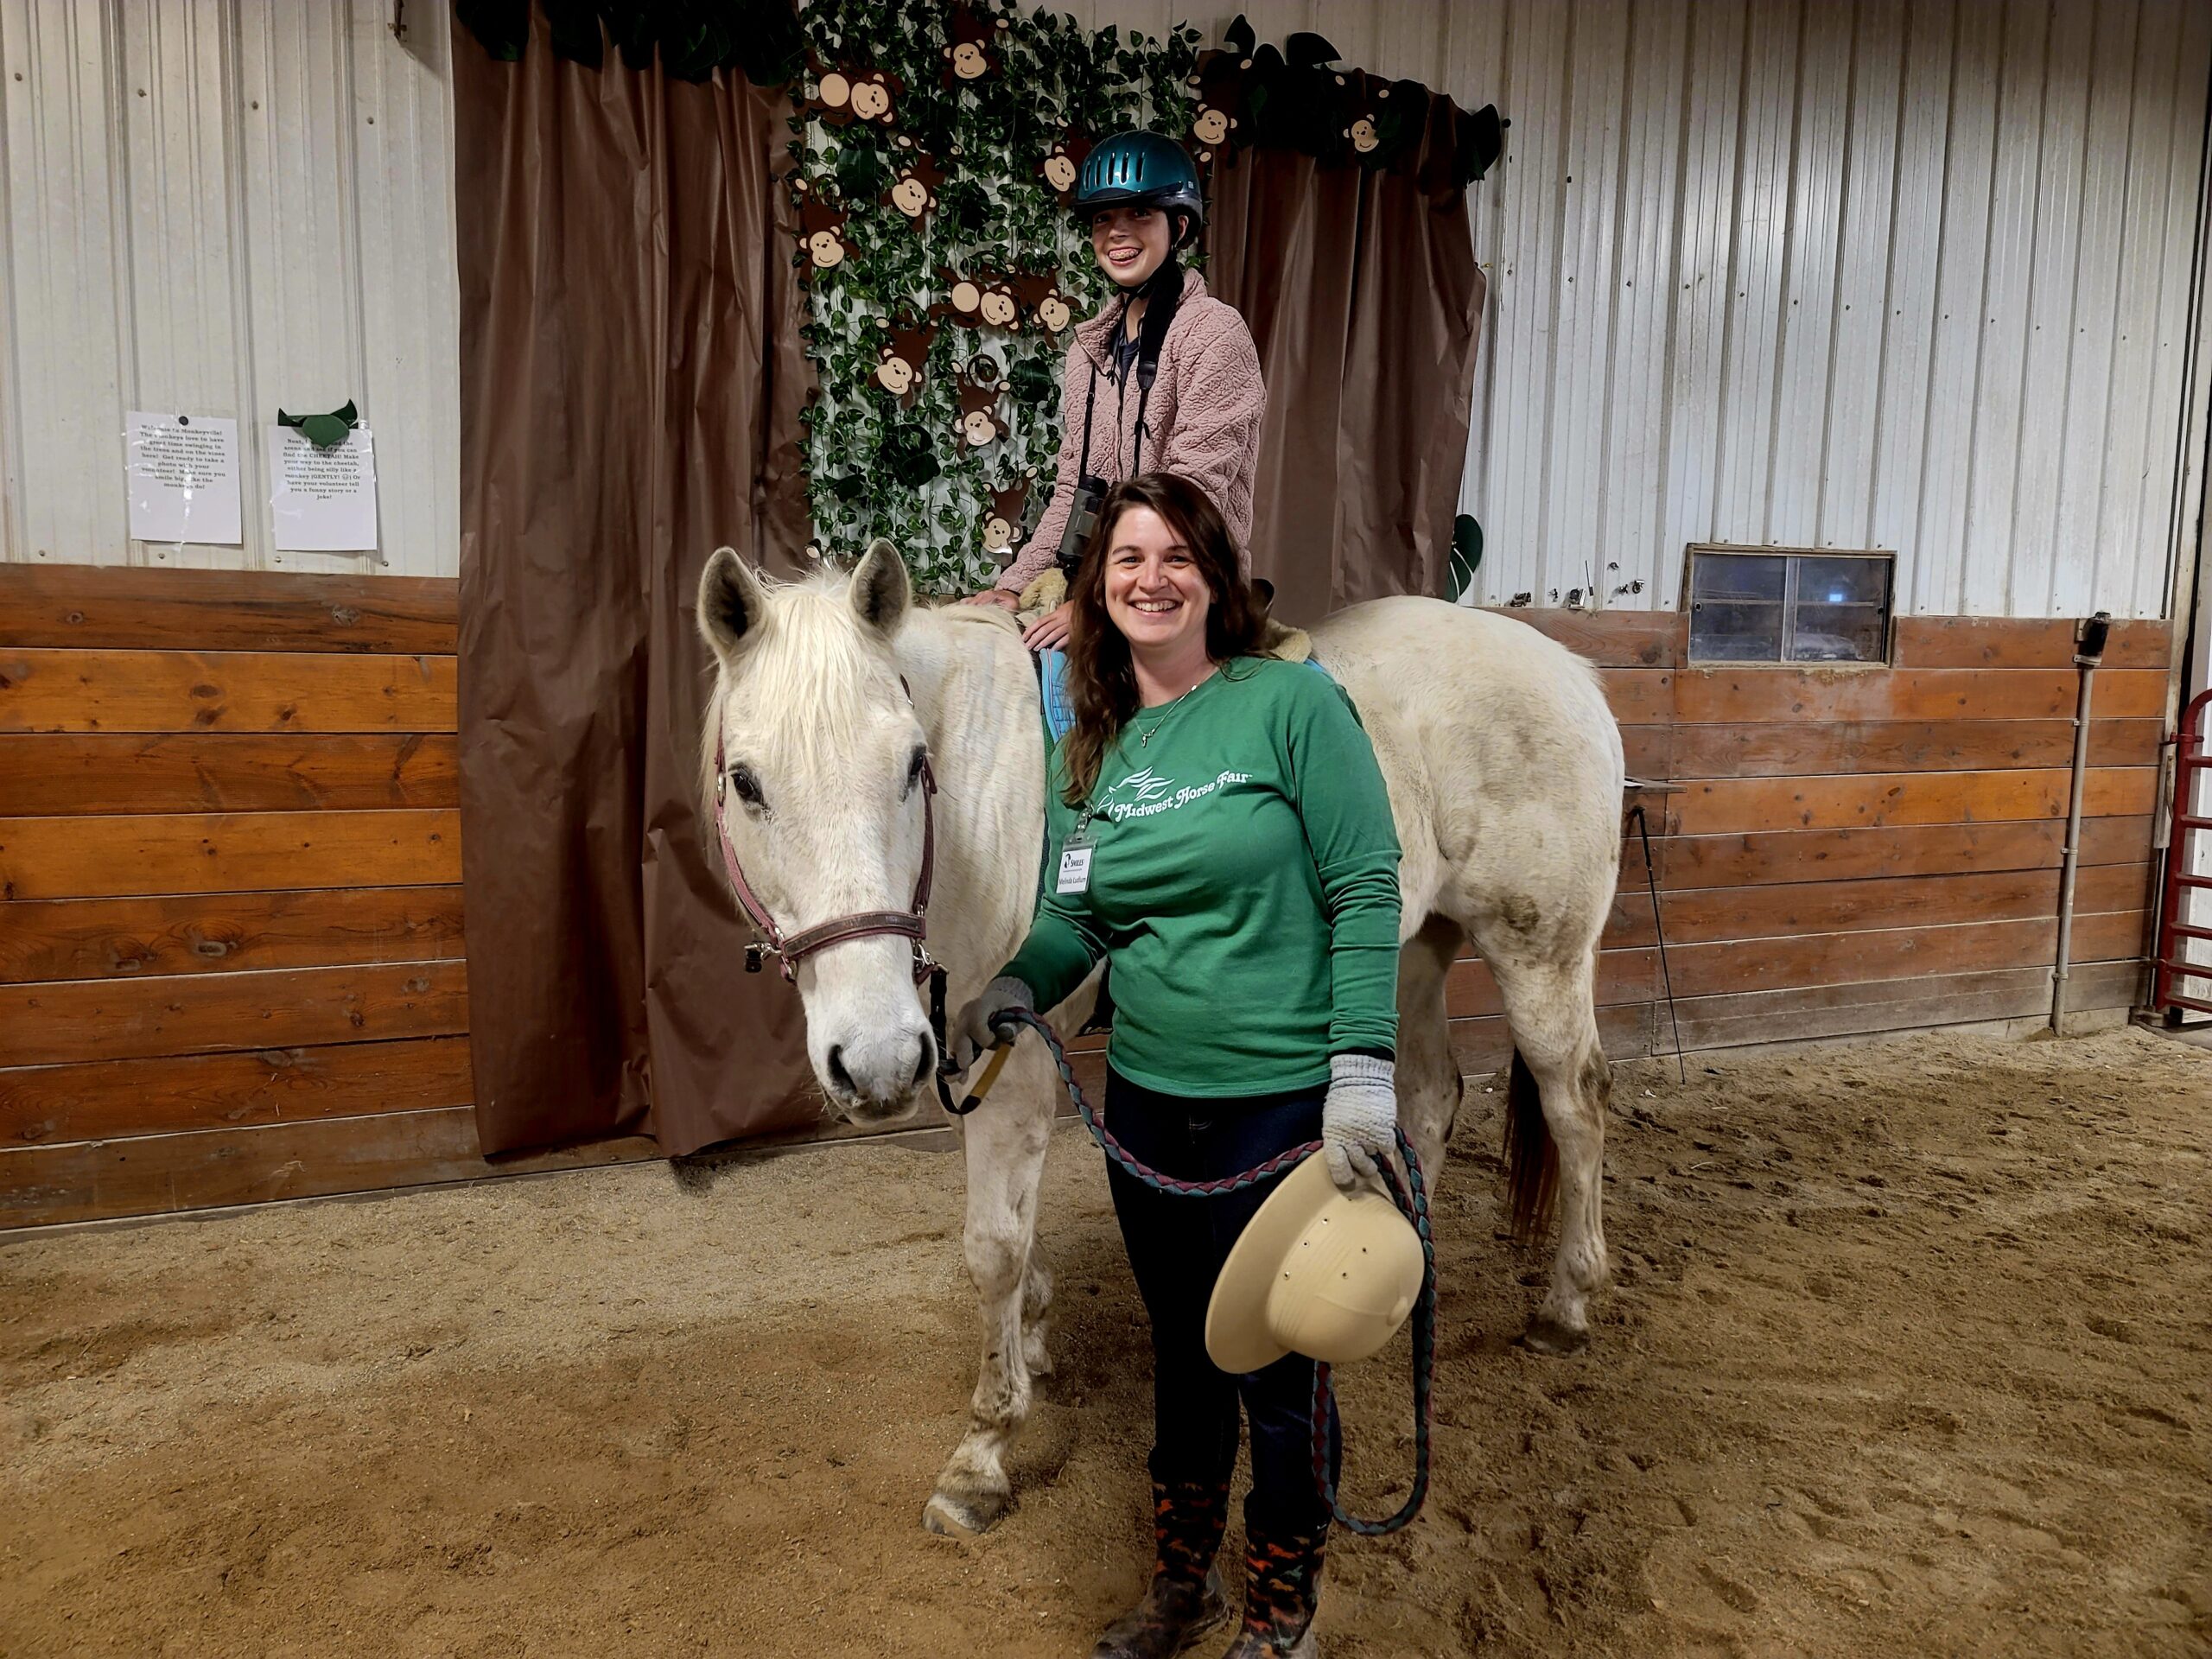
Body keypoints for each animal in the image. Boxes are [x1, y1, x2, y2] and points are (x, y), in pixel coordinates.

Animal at [695, 541, 1625, 1537]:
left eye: (912, 765)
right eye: (747, 782)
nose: (872, 1061)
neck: (973, 811)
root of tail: (1570, 671)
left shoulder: (1013, 1060)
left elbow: (992, 1247)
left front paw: (982, 1453)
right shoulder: (950, 1051)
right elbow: (1014, 1238)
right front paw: (1035, 1334)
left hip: (1539, 953)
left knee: (1574, 1104)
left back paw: (1567, 1305)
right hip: (1409, 948)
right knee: (1424, 1098)